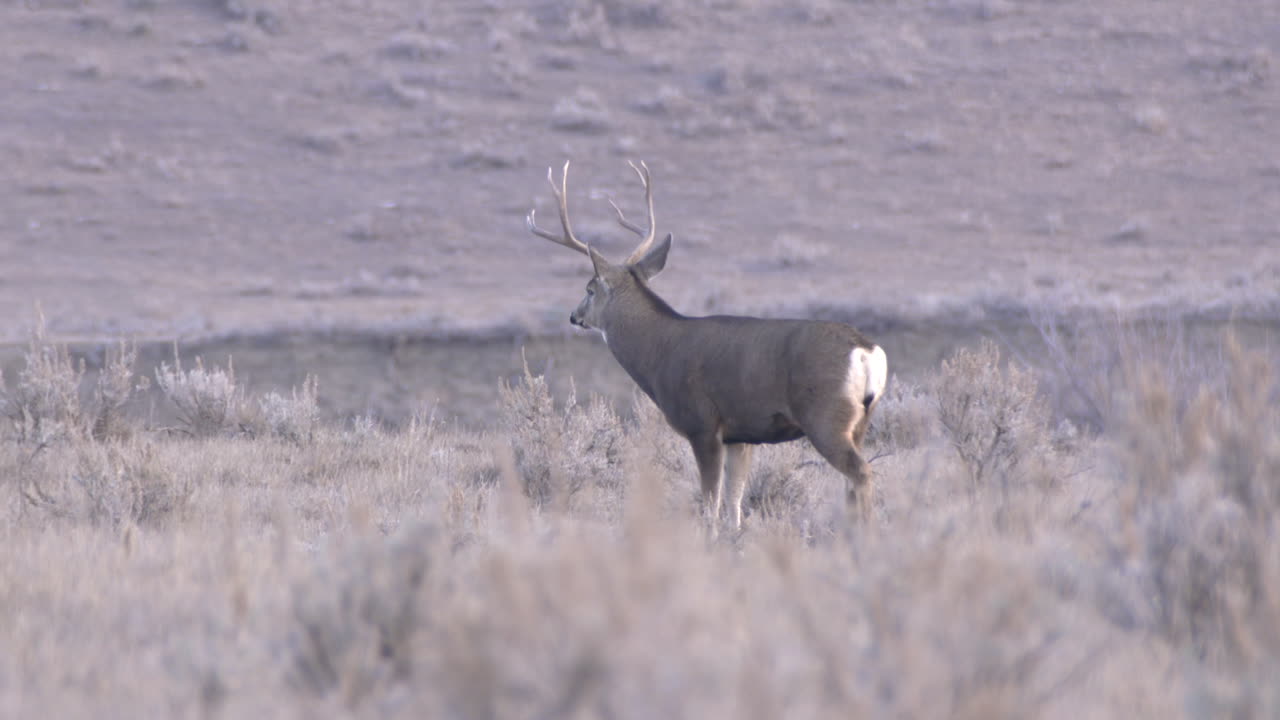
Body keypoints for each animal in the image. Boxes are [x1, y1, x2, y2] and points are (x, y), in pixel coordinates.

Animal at [526, 160, 888, 531]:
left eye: (589, 289)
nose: (574, 316)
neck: (659, 351)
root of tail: (865, 351)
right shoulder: (740, 435)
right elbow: (734, 500)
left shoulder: (702, 423)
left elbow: (710, 502)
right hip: (860, 421)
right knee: (853, 479)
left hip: (825, 416)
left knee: (861, 473)